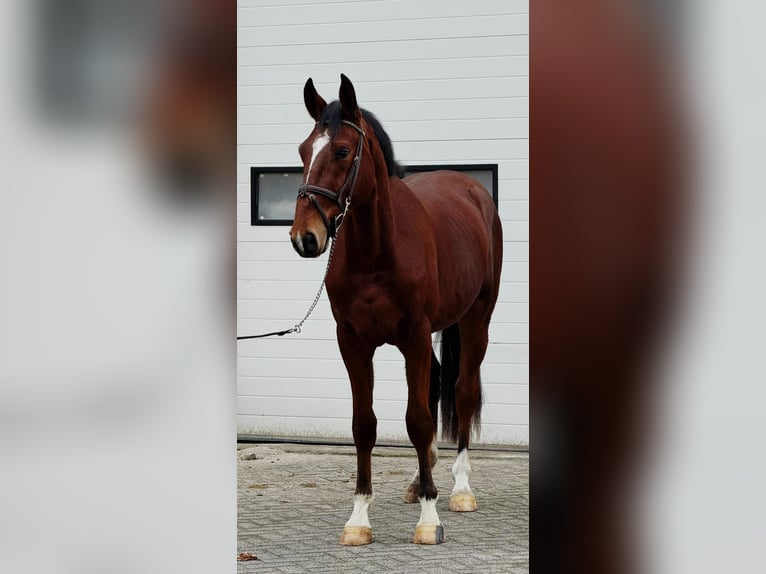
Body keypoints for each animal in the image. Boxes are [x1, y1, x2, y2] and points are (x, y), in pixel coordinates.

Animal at [289, 74, 503, 545]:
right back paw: (421, 481)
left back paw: (459, 490)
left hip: (476, 318)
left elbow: (418, 420)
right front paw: (358, 519)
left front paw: (429, 519)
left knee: (462, 390)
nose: (304, 237)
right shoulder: (352, 342)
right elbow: (364, 425)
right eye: (302, 150)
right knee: (435, 385)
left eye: (342, 151)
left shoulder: (414, 336)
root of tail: (472, 190)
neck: (377, 252)